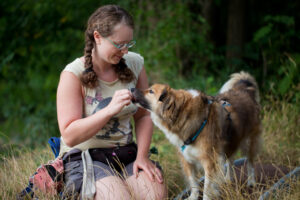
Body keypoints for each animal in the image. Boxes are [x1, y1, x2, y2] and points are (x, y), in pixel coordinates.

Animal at [132, 72, 262, 200]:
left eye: (151, 91)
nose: (132, 88)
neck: (185, 116)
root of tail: (244, 90)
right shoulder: (187, 159)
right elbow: (193, 182)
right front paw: (193, 197)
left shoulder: (210, 162)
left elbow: (207, 188)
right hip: (231, 142)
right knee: (230, 160)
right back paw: (227, 179)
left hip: (249, 142)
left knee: (250, 162)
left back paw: (251, 181)